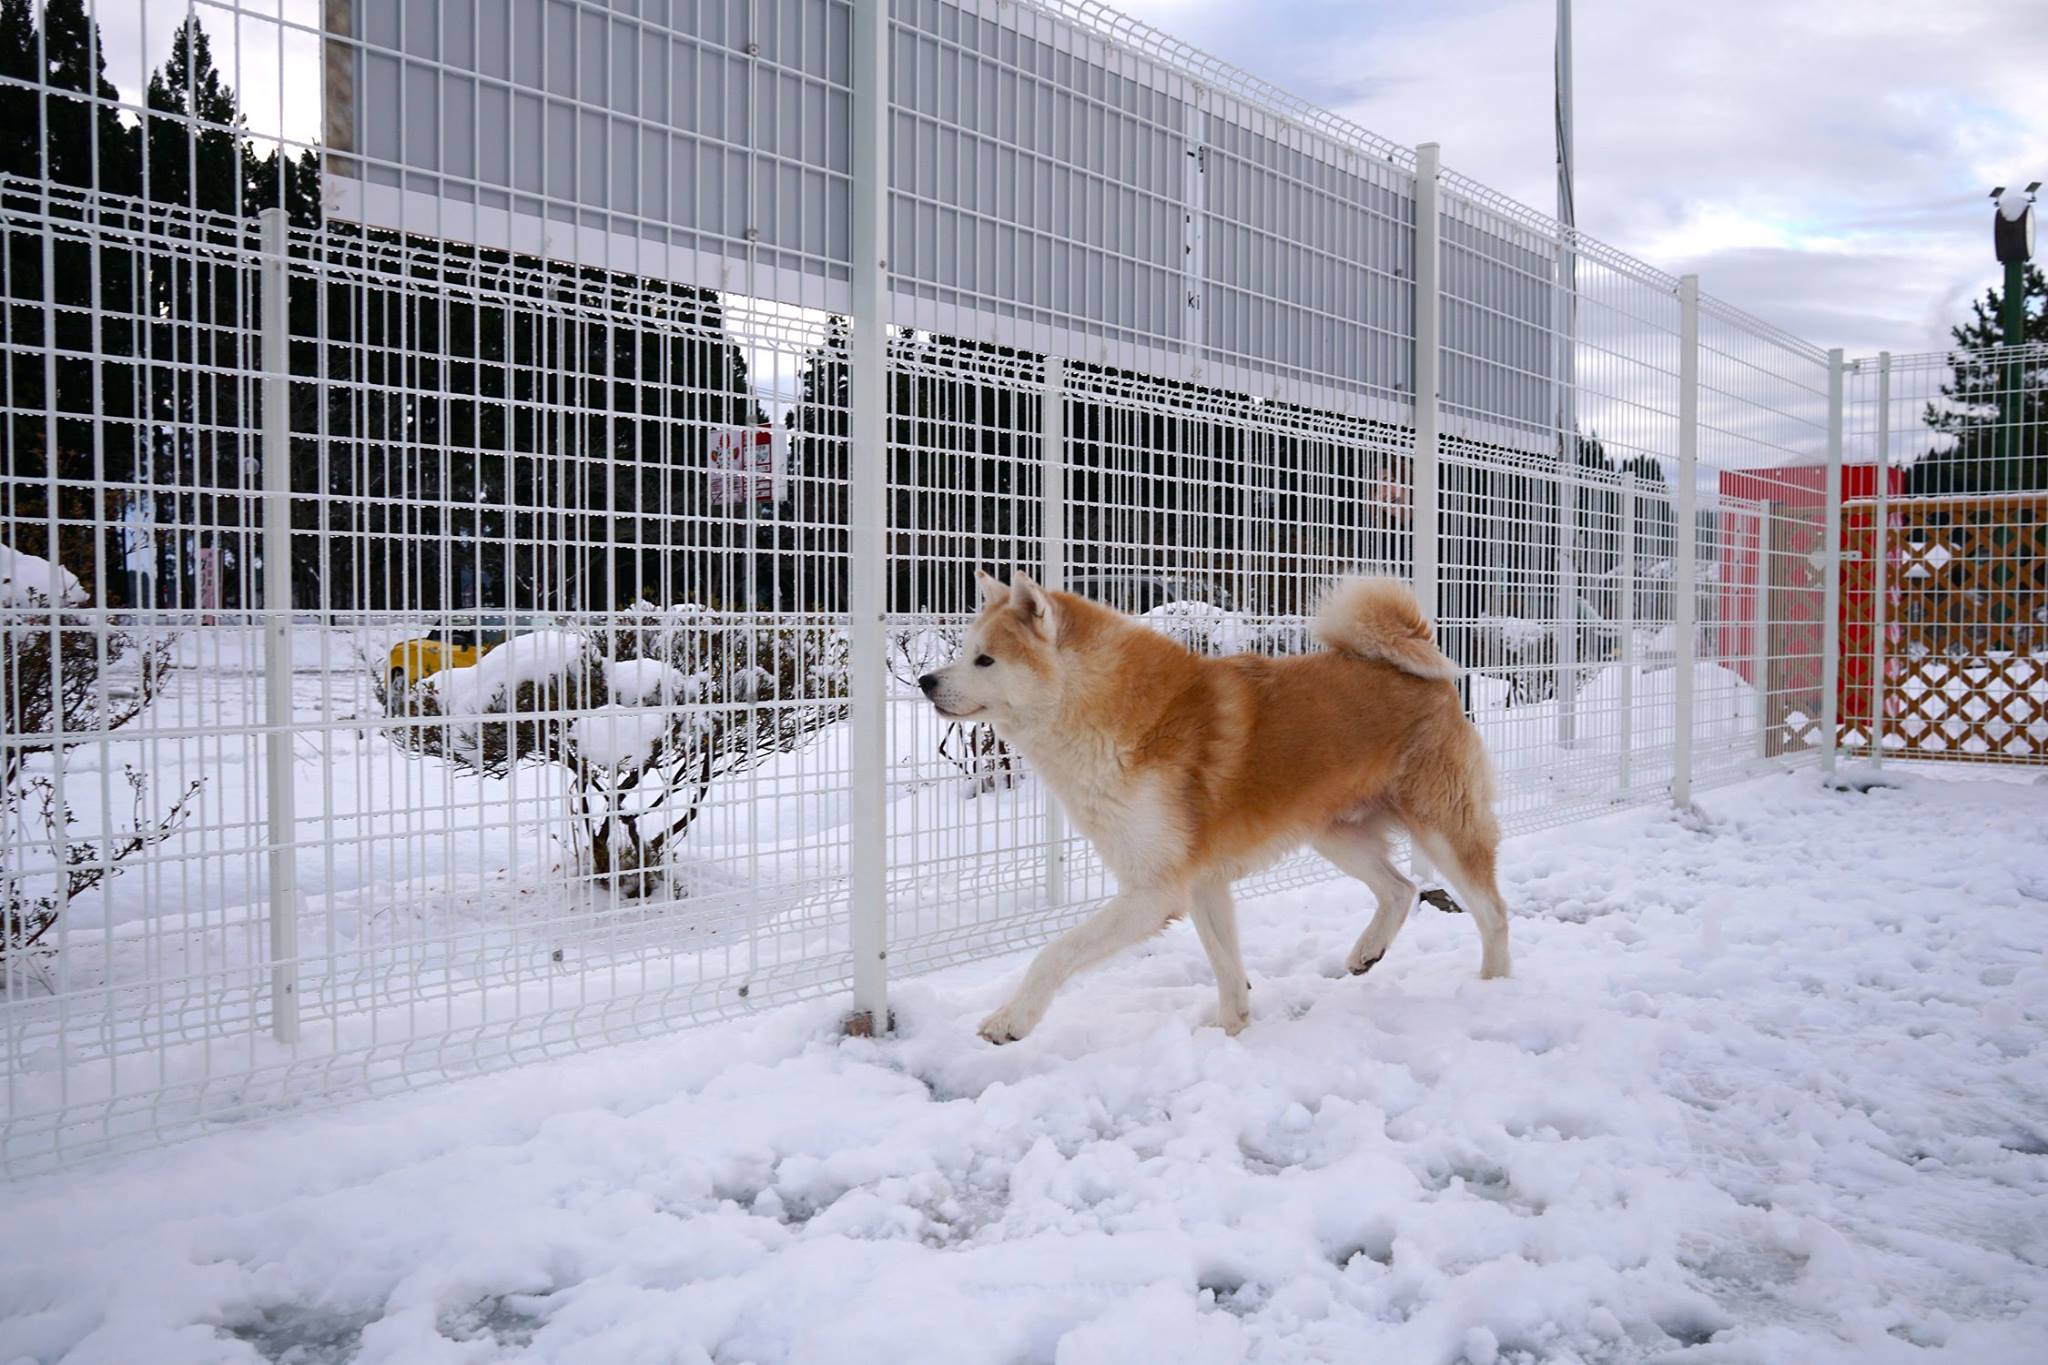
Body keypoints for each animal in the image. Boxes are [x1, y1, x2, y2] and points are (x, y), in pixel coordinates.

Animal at [921, 568, 1515, 1047]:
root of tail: (1426, 673)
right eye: (965, 650)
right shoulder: (1203, 881)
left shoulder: (1154, 891)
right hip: (1335, 834)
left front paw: (1010, 1020)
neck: (1105, 712)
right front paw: (1231, 1032)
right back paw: (1367, 952)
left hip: (1441, 829)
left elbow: (1055, 952)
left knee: (1492, 913)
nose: (926, 680)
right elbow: (1228, 969)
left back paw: (1494, 988)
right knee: (1400, 889)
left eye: (985, 658)